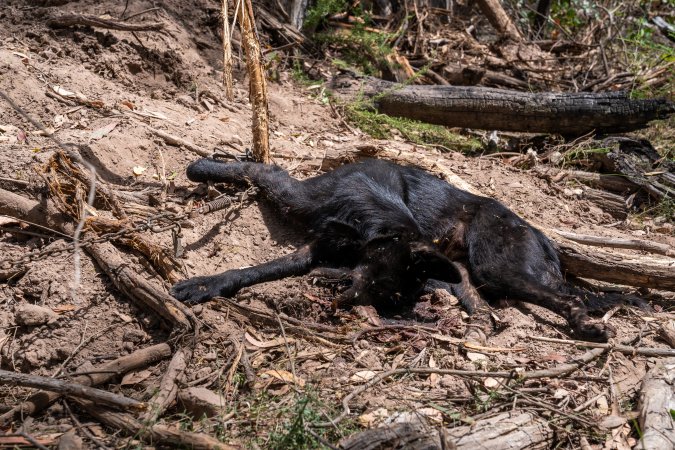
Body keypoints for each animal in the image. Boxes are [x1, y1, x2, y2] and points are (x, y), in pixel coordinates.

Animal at [173, 158, 616, 342]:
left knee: (568, 297)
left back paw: (585, 325)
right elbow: (254, 171)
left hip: (493, 267)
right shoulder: (301, 211)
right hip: (467, 274)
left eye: (391, 296)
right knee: (486, 309)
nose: (345, 306)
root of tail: (541, 235)